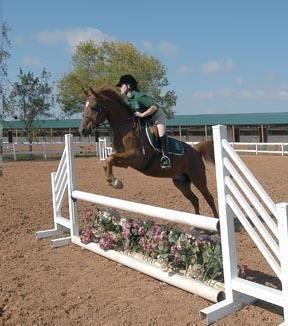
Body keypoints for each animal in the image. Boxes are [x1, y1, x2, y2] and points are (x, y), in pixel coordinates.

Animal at [79, 88, 218, 218]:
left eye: (94, 107)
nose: (82, 130)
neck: (125, 129)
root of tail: (196, 151)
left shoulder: (135, 158)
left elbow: (110, 159)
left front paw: (116, 182)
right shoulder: (125, 162)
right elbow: (108, 160)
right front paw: (113, 181)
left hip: (198, 178)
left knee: (209, 198)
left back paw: (216, 222)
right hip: (181, 181)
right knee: (195, 199)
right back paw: (197, 224)